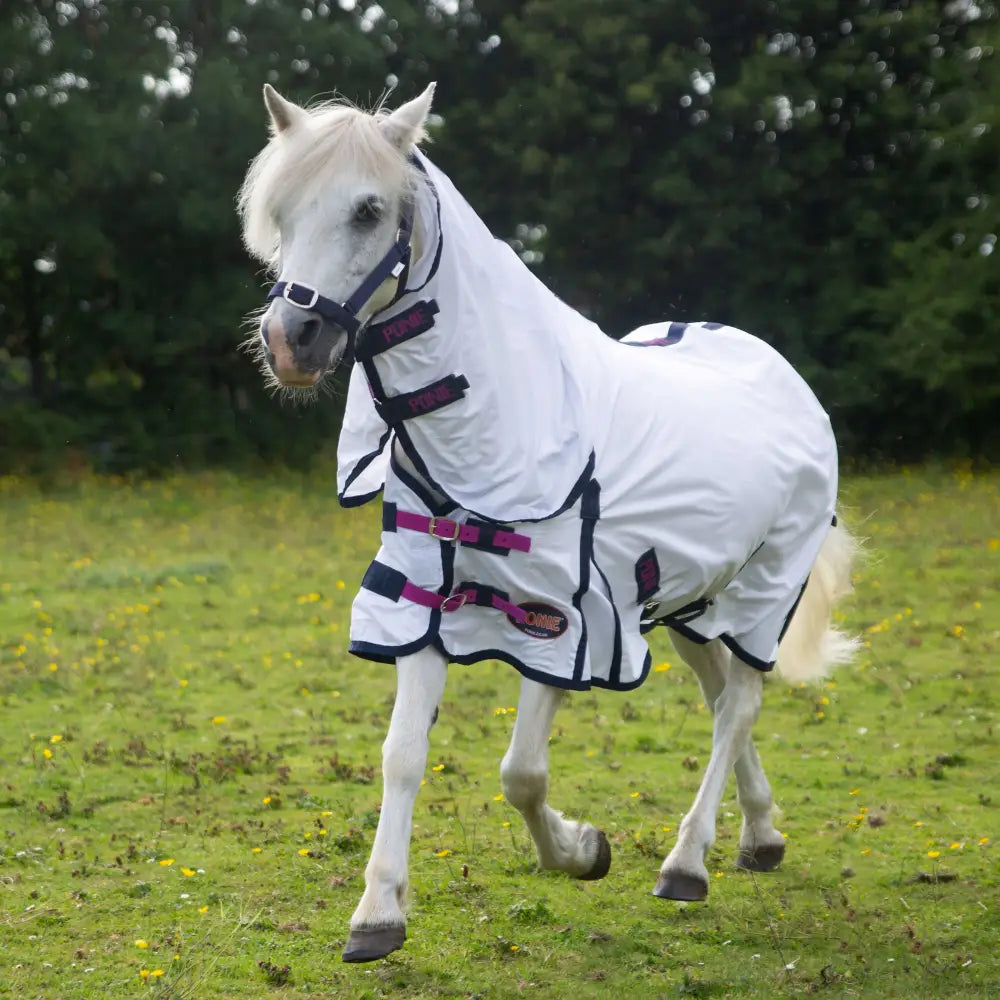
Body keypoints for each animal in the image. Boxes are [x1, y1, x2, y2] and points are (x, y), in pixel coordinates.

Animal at [238, 82, 858, 964]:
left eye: (367, 210)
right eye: (281, 214)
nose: (291, 342)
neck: (489, 429)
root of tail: (780, 374)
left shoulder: (564, 620)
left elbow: (522, 771)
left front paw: (581, 850)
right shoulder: (421, 601)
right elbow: (401, 755)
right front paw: (378, 912)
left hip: (764, 592)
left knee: (738, 704)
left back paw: (686, 863)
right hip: (692, 602)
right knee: (722, 702)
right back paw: (760, 835)